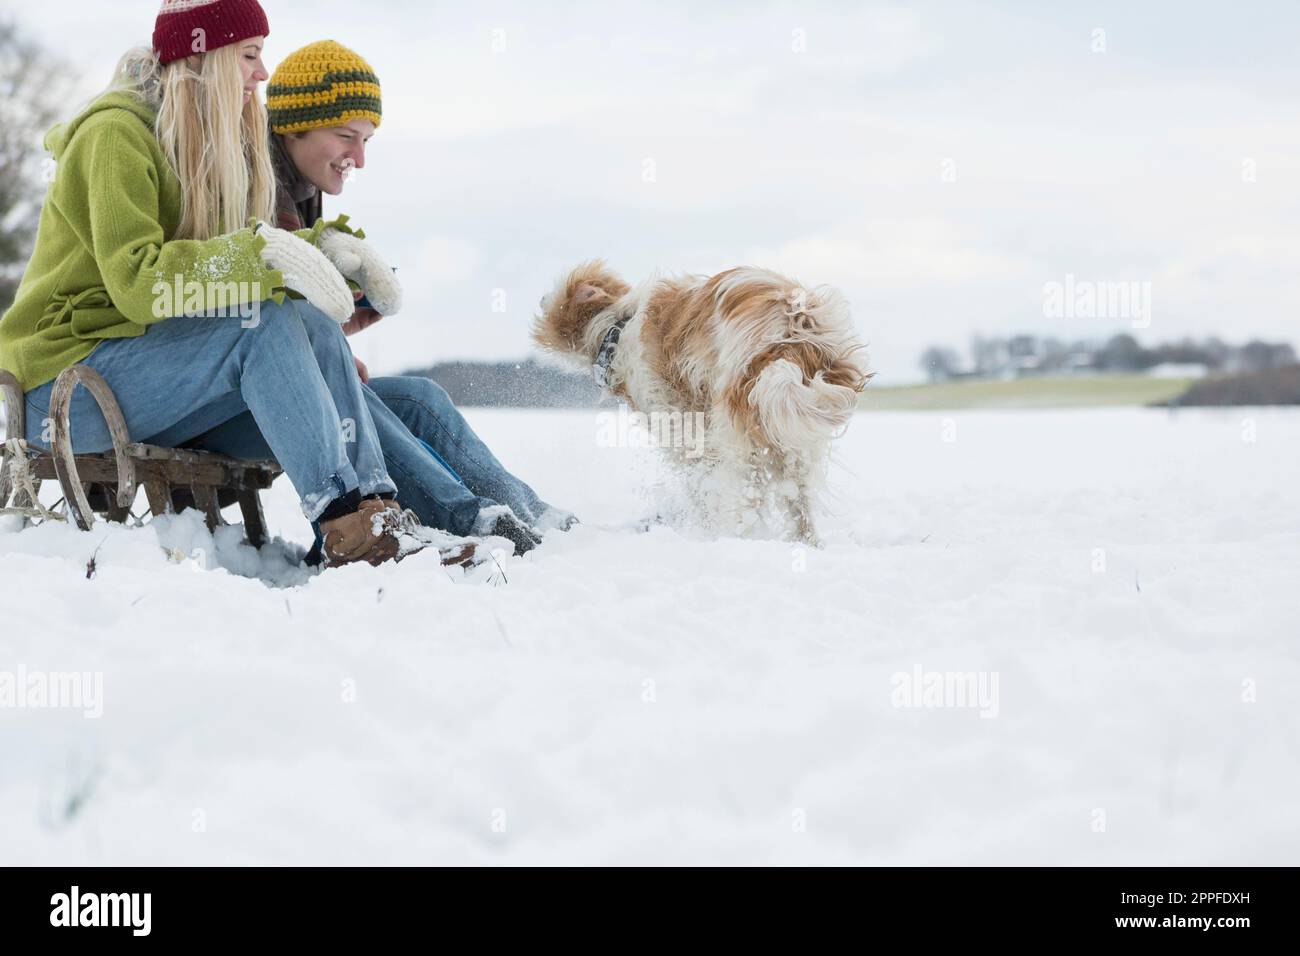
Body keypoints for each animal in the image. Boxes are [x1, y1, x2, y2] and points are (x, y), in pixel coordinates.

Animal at [527, 261, 873, 541]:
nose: (540, 297)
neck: (618, 326)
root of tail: (790, 332)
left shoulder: (683, 435)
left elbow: (701, 488)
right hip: (788, 437)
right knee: (797, 500)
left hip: (737, 434)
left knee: (748, 498)